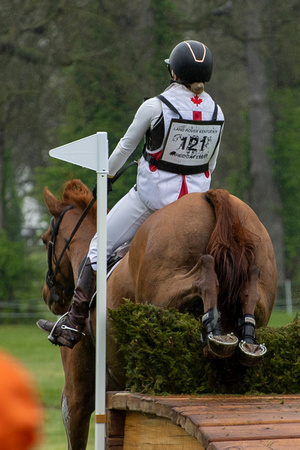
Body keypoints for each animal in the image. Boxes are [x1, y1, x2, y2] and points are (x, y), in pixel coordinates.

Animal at [39, 178, 276, 446]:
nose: (49, 296)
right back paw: (243, 340)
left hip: (164, 293)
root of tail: (210, 197)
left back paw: (215, 332)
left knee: (205, 273)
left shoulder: (75, 398)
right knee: (250, 287)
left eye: (45, 239)